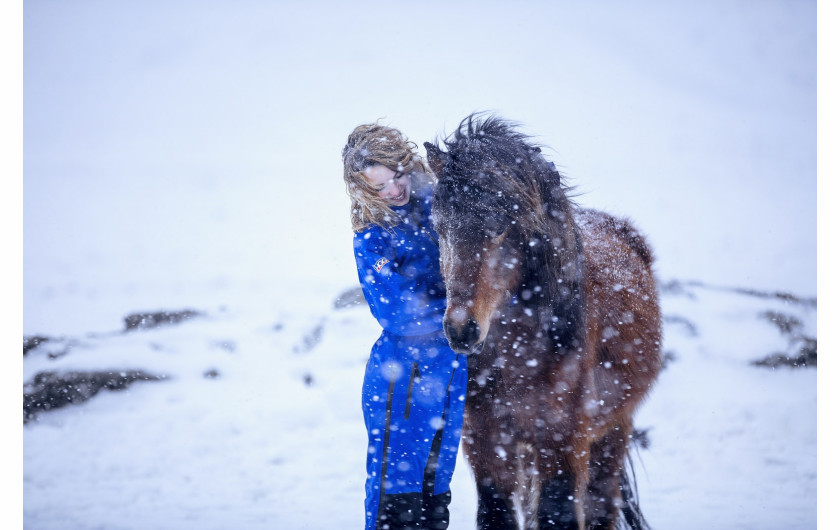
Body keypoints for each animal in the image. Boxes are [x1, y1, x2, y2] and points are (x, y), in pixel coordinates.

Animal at [426, 113, 664, 524]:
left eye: (501, 227)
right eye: (440, 227)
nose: (460, 329)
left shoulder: (563, 446)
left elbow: (560, 513)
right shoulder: (486, 445)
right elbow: (496, 514)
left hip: (613, 431)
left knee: (602, 504)